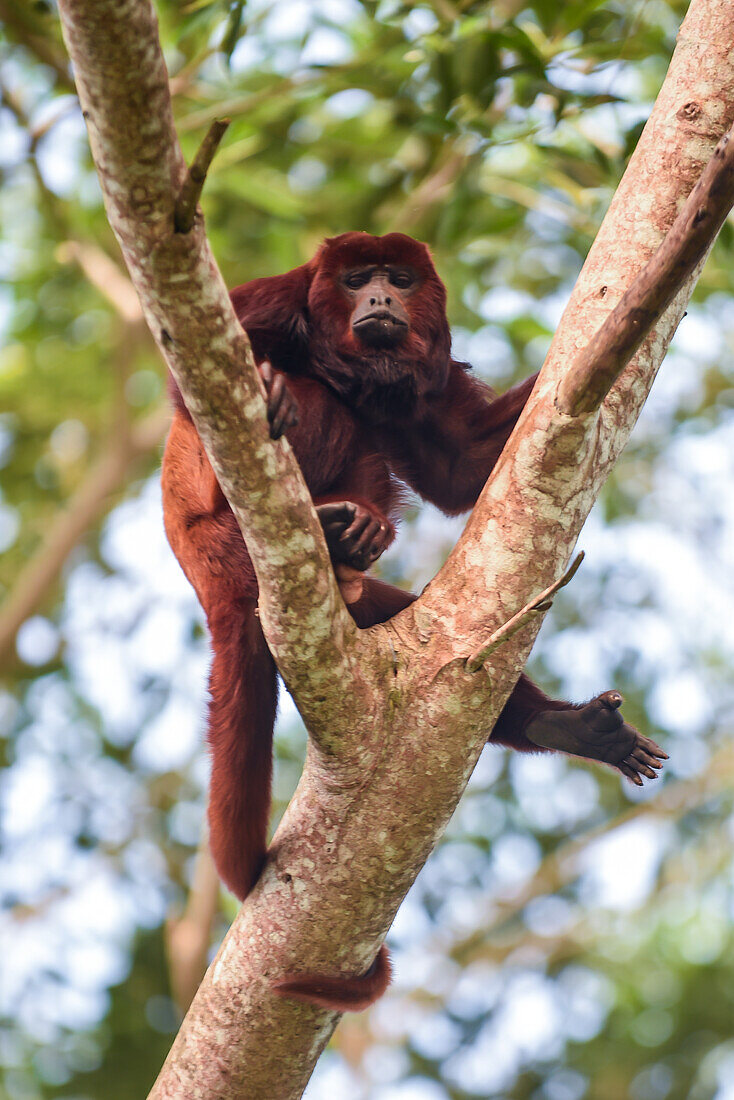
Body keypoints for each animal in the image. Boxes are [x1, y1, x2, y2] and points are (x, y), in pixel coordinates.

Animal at [163, 232, 669, 1012]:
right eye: (355, 280)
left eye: (398, 279)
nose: (378, 298)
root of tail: (213, 587)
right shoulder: (272, 300)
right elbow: (189, 378)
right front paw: (272, 386)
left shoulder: (429, 378)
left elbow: (462, 467)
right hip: (226, 542)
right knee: (312, 407)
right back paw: (329, 513)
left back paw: (569, 726)